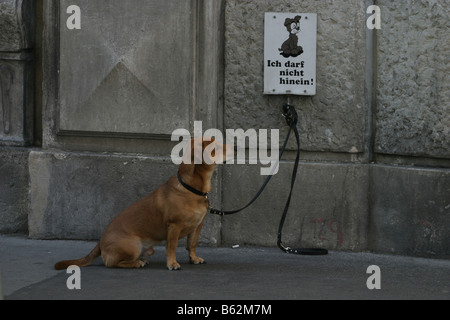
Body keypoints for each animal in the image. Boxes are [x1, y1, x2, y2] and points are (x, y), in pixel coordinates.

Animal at [54, 139, 234, 272]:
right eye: (216, 147)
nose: (237, 147)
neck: (192, 189)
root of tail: (100, 242)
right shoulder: (174, 226)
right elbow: (172, 247)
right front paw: (172, 264)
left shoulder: (197, 226)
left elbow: (192, 244)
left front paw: (194, 258)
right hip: (132, 245)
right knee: (111, 263)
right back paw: (136, 263)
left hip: (147, 249)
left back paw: (141, 260)